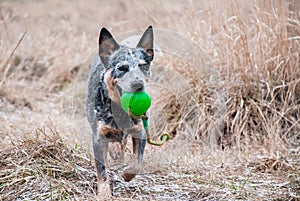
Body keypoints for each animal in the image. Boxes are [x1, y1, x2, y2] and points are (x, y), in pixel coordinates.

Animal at [85, 25, 154, 196]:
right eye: (122, 68)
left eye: (143, 65)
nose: (138, 84)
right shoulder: (98, 137)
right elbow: (102, 171)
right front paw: (104, 195)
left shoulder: (140, 132)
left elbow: (137, 163)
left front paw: (127, 174)